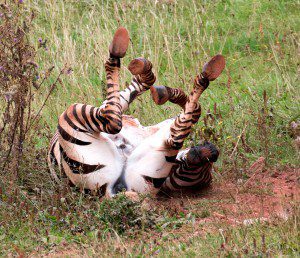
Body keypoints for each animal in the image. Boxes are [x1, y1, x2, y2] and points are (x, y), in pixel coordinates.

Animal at [47, 27, 225, 198]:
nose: (207, 152)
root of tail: (109, 193)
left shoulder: (112, 107)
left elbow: (125, 96)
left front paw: (155, 84)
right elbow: (192, 111)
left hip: (71, 115)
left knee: (113, 120)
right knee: (175, 137)